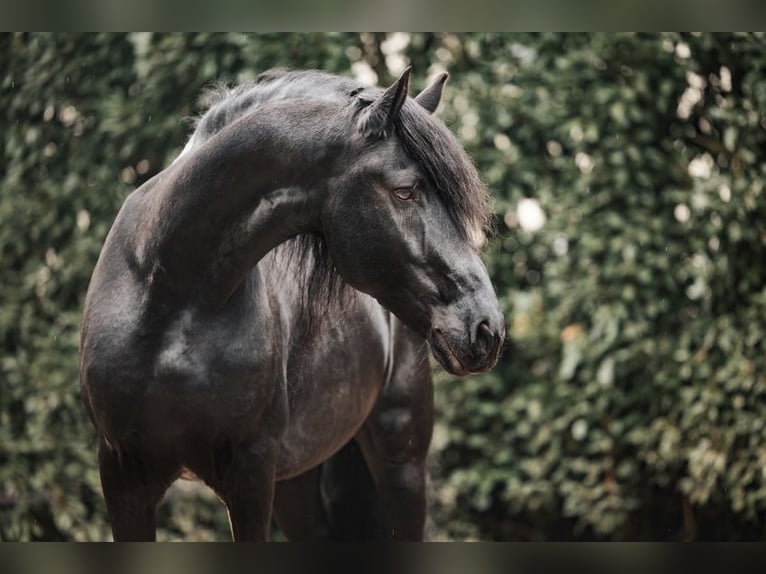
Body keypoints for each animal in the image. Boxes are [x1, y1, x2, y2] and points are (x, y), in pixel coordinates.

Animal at [79, 67, 505, 541]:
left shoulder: (249, 477)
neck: (172, 296)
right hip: (296, 485)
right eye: (405, 191)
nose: (486, 327)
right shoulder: (123, 479)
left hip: (401, 462)